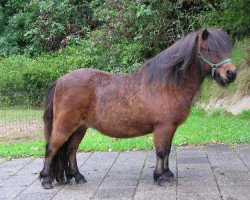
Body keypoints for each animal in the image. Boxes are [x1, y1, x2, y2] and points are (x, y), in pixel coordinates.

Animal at [39, 28, 236, 189]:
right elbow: (161, 151)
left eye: (227, 49)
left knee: (71, 150)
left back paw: (78, 177)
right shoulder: (163, 127)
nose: (231, 73)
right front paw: (161, 177)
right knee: (51, 148)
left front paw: (167, 174)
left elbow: (167, 150)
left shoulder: (170, 128)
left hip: (80, 127)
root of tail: (60, 80)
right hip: (65, 125)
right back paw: (46, 180)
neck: (167, 84)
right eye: (208, 50)